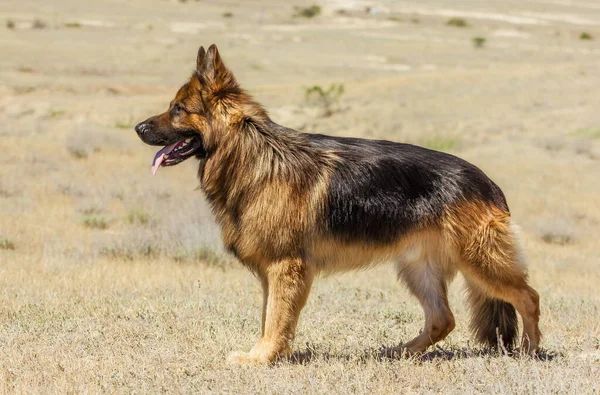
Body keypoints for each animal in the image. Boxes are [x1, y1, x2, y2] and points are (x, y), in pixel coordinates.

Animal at [135, 44, 540, 366]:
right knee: (443, 319)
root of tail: (489, 184)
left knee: (528, 296)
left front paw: (261, 358)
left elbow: (275, 318)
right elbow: (269, 316)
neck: (254, 153)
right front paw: (268, 354)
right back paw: (401, 352)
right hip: (419, 268)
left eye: (178, 109)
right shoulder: (272, 272)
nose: (138, 128)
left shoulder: (285, 268)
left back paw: (530, 350)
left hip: (480, 262)